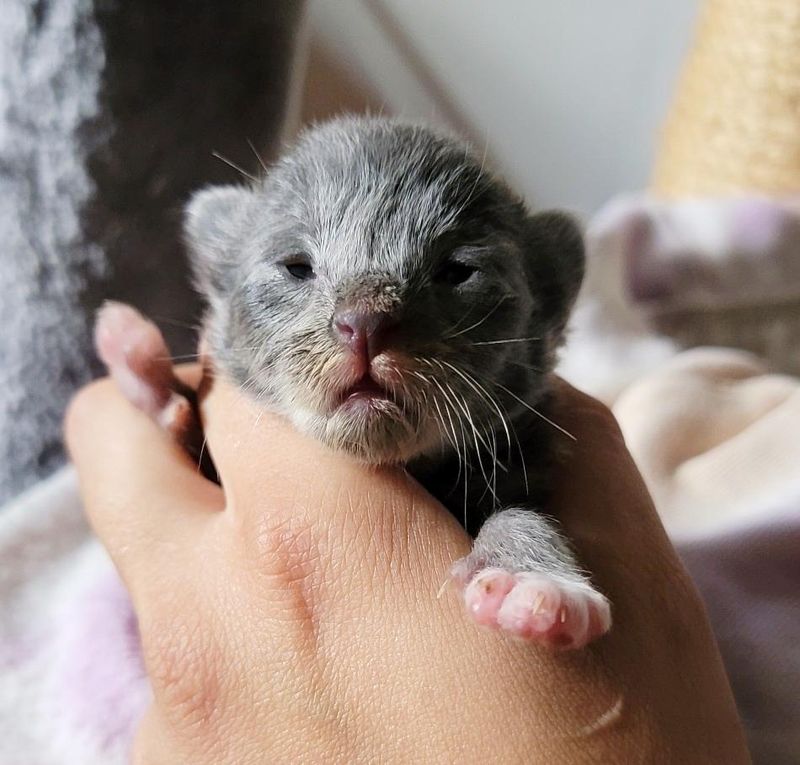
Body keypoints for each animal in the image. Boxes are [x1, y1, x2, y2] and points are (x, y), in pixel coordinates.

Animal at [100, 116, 612, 648]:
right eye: (296, 266)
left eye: (458, 271)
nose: (365, 323)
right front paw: (143, 373)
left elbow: (518, 511)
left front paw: (535, 580)